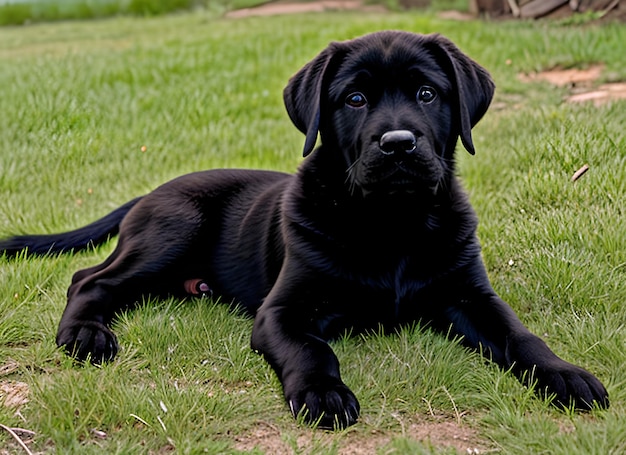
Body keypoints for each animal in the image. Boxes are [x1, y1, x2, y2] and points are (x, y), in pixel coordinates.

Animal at [0, 30, 604, 430]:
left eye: (428, 94)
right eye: (355, 98)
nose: (399, 144)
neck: (391, 222)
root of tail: (151, 191)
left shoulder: (470, 294)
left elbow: (520, 334)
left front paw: (566, 375)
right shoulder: (283, 311)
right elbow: (312, 350)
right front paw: (324, 394)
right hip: (172, 229)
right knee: (90, 279)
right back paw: (86, 334)